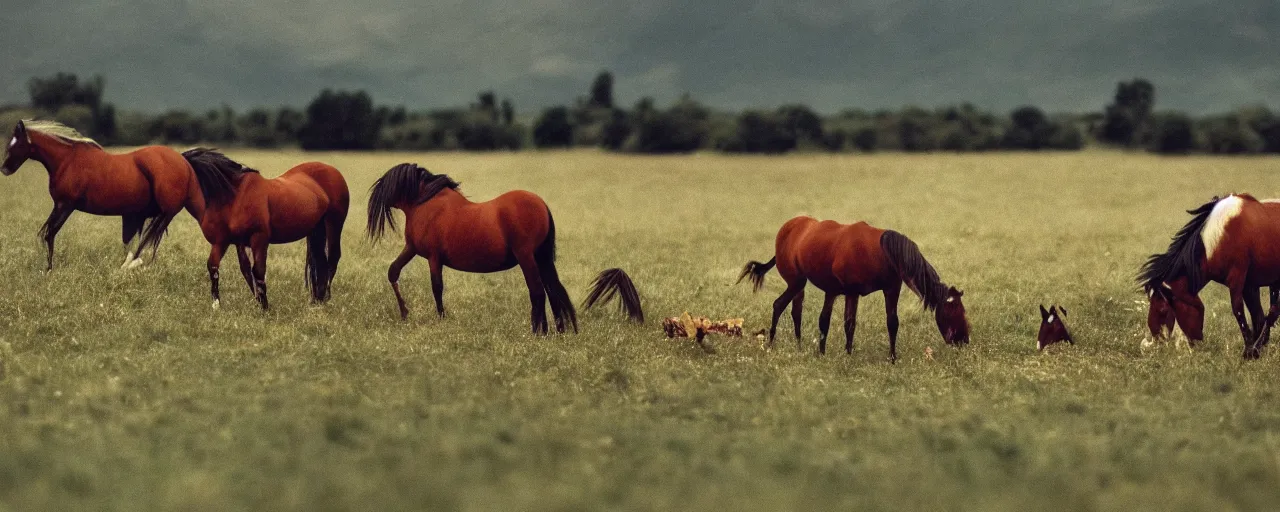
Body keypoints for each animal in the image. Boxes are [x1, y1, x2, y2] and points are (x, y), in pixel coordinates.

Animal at [0, 120, 202, 271]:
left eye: (16, 144)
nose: (4, 169)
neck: (66, 160)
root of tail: (184, 162)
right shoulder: (60, 206)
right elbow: (47, 233)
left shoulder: (65, 205)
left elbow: (49, 234)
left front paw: (49, 269)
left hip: (162, 214)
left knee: (146, 240)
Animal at [183, 145, 348, 309]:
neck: (234, 197)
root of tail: (332, 170)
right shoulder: (227, 242)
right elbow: (225, 268)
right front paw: (218, 305)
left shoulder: (259, 238)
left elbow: (257, 271)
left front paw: (265, 307)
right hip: (317, 230)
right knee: (320, 263)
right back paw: (316, 300)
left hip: (334, 224)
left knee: (333, 258)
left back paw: (325, 298)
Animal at [366, 161, 586, 332]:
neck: (424, 203)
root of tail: (541, 205)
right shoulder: (411, 248)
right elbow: (393, 272)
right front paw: (404, 312)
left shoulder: (433, 257)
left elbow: (437, 287)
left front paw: (441, 318)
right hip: (540, 258)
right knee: (551, 292)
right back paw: (556, 331)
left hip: (526, 257)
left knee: (538, 291)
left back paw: (538, 332)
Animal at [737, 216, 962, 363]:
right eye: (952, 313)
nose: (964, 341)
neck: (880, 252)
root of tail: (787, 229)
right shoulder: (852, 292)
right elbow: (849, 323)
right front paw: (848, 355)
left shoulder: (891, 288)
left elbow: (892, 322)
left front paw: (892, 358)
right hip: (796, 281)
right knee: (779, 305)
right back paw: (772, 344)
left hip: (802, 285)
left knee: (796, 310)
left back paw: (800, 346)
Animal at [1136, 194, 1280, 358]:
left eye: (1162, 310)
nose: (1153, 343)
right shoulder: (1250, 285)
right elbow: (1259, 317)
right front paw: (1256, 350)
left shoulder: (1237, 280)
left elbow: (1240, 312)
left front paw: (1250, 351)